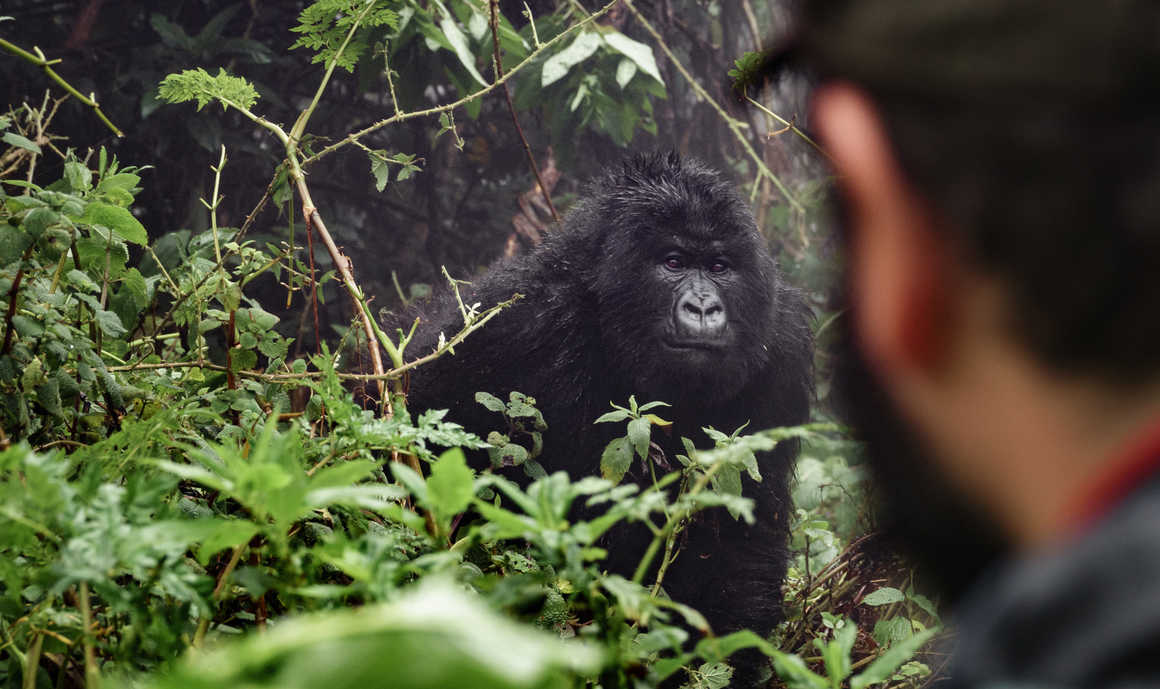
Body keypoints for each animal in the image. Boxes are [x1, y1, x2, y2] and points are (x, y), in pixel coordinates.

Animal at [385, 151, 812, 663]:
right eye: (673, 262)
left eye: (719, 265)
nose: (704, 308)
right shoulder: (511, 322)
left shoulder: (782, 348)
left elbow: (741, 537)